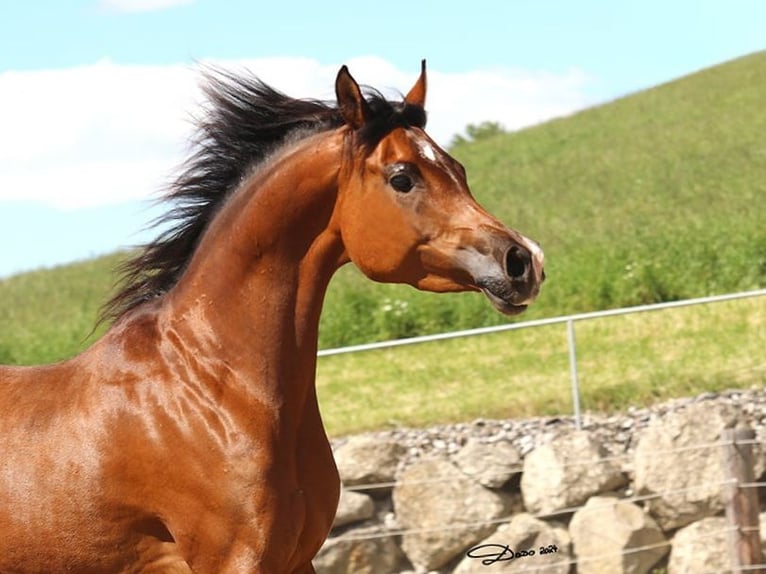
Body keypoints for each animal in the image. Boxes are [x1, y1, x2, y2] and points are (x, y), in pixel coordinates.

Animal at [0, 60, 544, 572]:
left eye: (458, 169)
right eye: (402, 178)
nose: (523, 261)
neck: (210, 390)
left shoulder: (298, 559)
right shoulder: (234, 561)